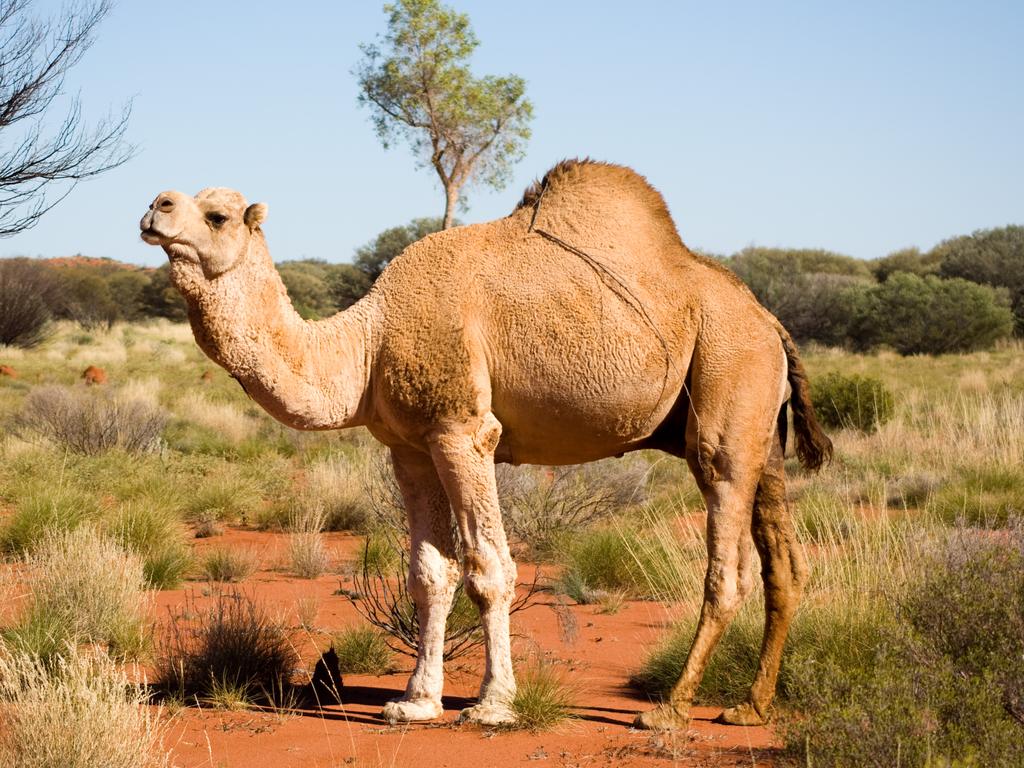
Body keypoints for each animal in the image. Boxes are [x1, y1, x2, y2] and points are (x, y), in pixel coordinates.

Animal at [138, 159, 831, 729]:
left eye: (218, 214)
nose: (154, 206)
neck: (368, 342)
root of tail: (770, 322)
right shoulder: (410, 446)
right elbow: (429, 572)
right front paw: (415, 702)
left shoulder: (462, 430)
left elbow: (489, 568)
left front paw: (494, 704)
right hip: (761, 433)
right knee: (785, 564)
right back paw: (750, 707)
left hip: (726, 383)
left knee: (727, 562)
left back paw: (671, 709)